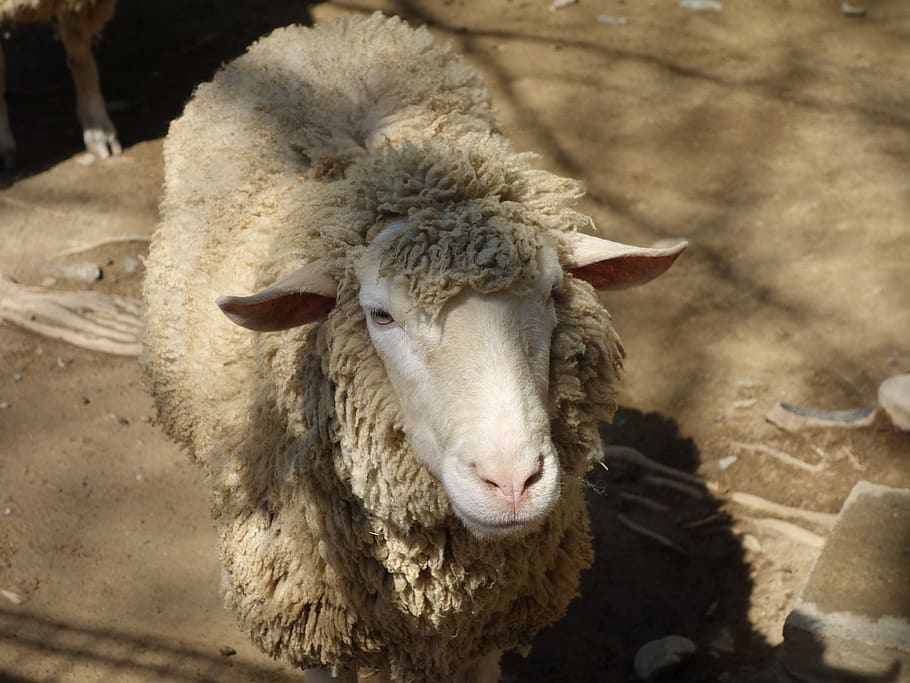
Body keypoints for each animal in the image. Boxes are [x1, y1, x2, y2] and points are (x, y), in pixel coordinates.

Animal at [142, 12, 686, 682]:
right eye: (380, 315)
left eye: (553, 290)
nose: (512, 482)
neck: (429, 588)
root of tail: (337, 30)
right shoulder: (319, 629)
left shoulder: (481, 639)